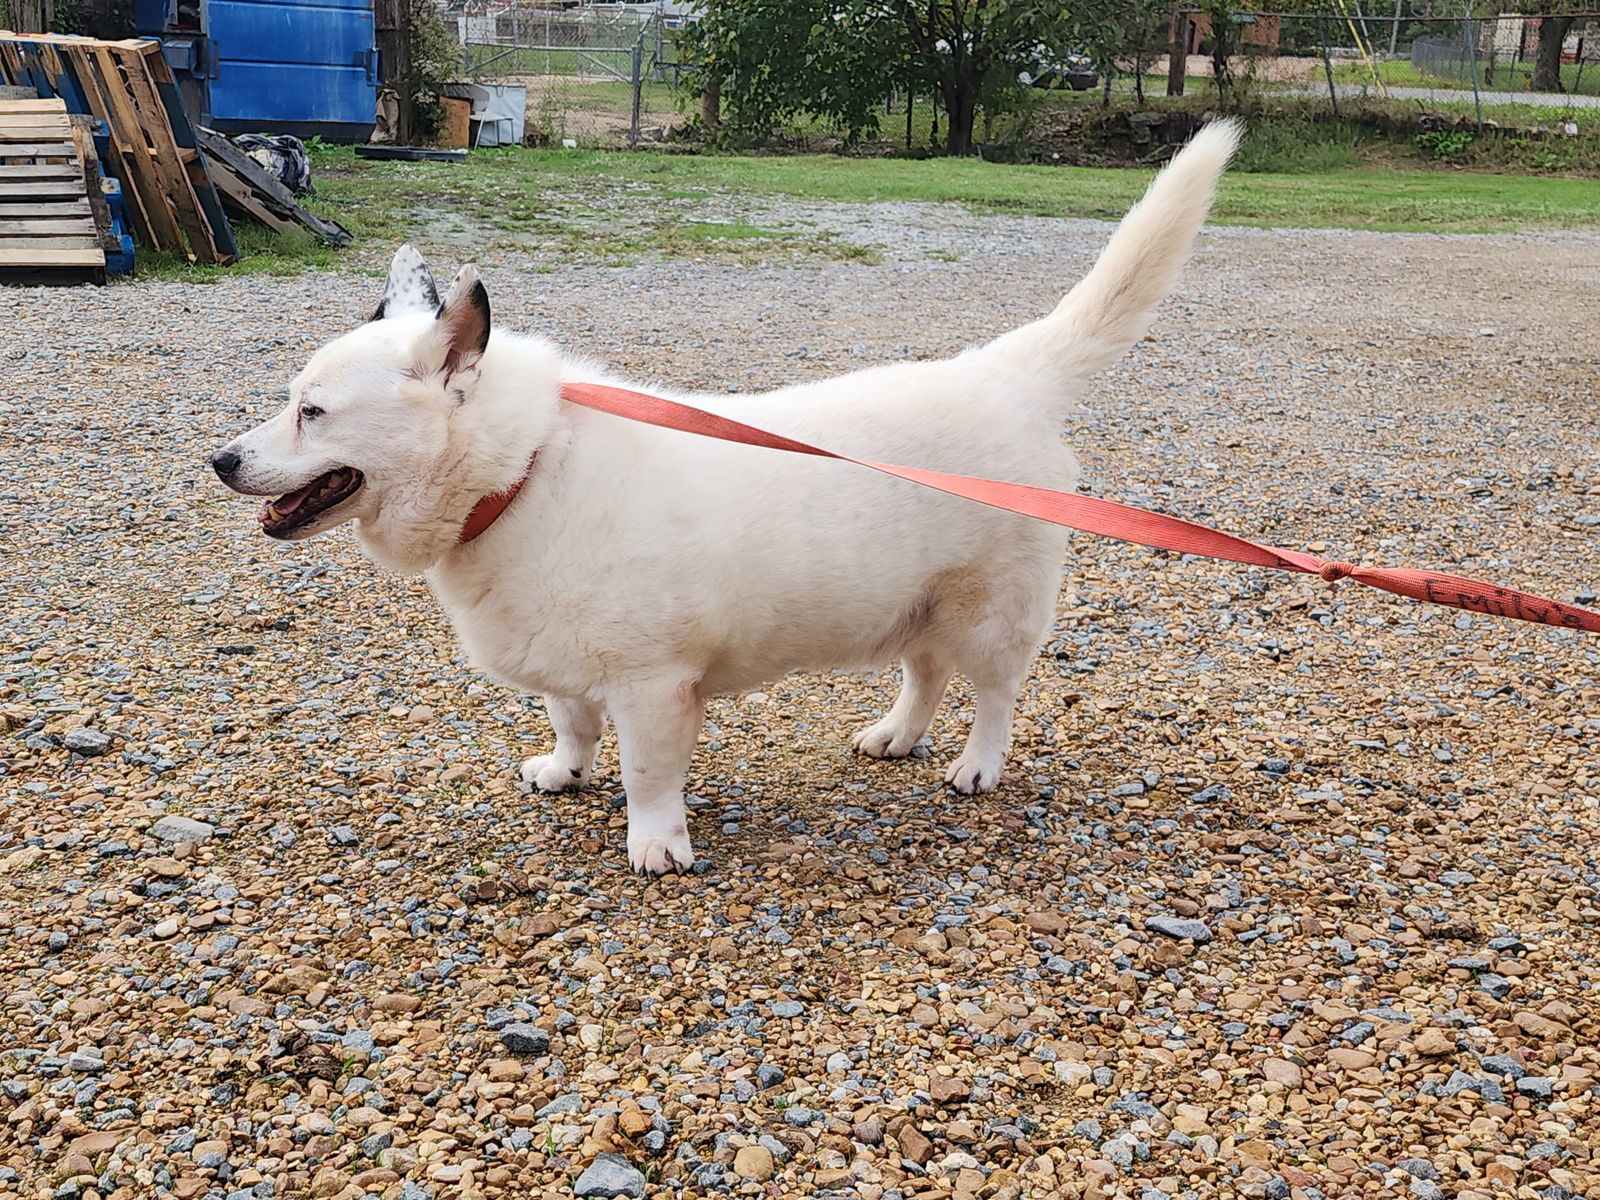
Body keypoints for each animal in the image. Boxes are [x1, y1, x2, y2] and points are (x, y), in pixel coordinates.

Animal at [209, 120, 1235, 876]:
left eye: (312, 413)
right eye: (289, 401)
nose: (220, 461)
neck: (524, 468)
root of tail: (1008, 373)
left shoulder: (653, 688)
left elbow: (647, 777)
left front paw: (656, 844)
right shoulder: (571, 668)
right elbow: (570, 725)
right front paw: (564, 772)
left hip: (992, 611)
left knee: (993, 694)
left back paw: (975, 766)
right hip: (914, 603)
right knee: (925, 676)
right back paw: (896, 737)